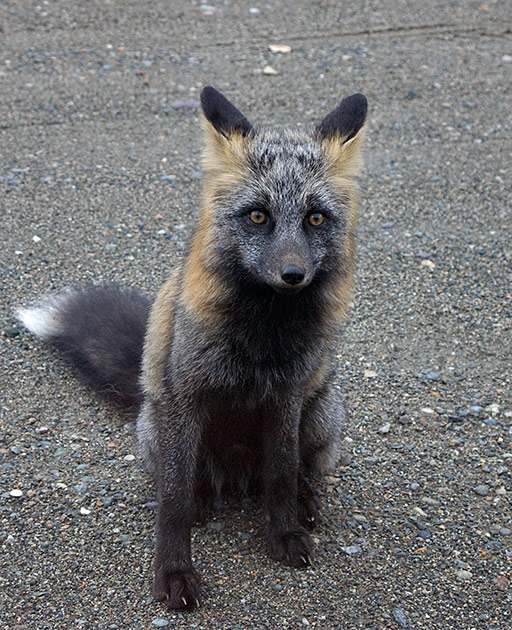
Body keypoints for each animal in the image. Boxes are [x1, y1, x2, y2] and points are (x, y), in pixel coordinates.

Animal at [17, 87, 368, 612]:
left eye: (315, 218)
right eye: (258, 215)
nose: (293, 275)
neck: (260, 340)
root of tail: (239, 475)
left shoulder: (285, 398)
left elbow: (282, 475)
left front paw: (283, 532)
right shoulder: (186, 397)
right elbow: (175, 503)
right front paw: (174, 571)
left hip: (322, 413)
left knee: (297, 473)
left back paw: (304, 500)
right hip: (156, 427)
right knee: (183, 483)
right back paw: (206, 496)